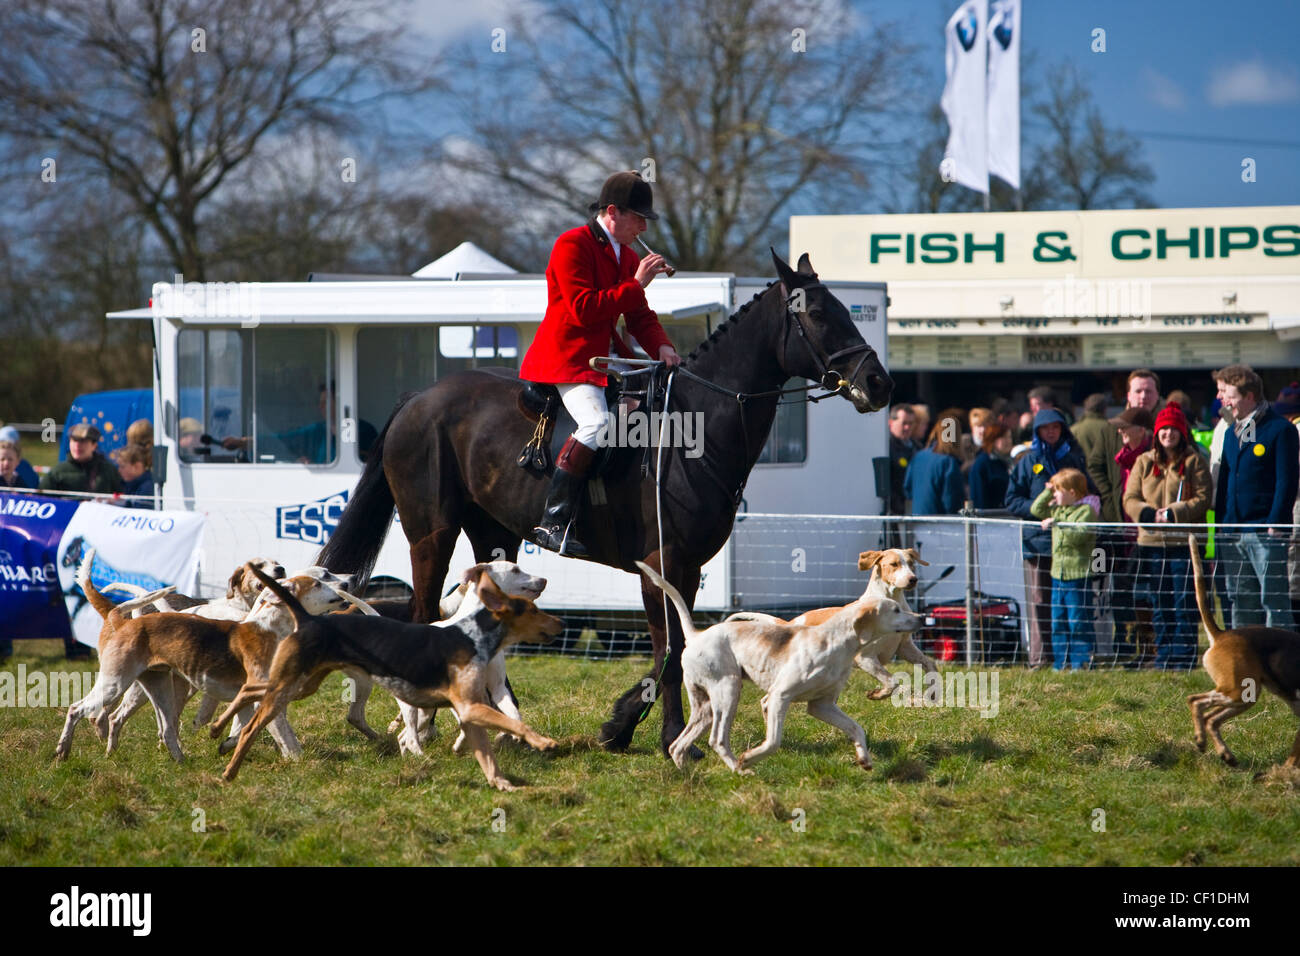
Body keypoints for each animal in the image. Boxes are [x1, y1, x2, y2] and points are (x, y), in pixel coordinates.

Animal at [321, 251, 899, 759]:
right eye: (819, 315)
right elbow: (671, 650)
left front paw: (629, 729)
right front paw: (661, 737)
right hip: (431, 533)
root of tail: (418, 399)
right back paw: (421, 724)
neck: (692, 429)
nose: (879, 383)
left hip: (494, 536)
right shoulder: (661, 564)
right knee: (421, 615)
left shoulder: (685, 568)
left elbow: (674, 648)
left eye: (846, 311)